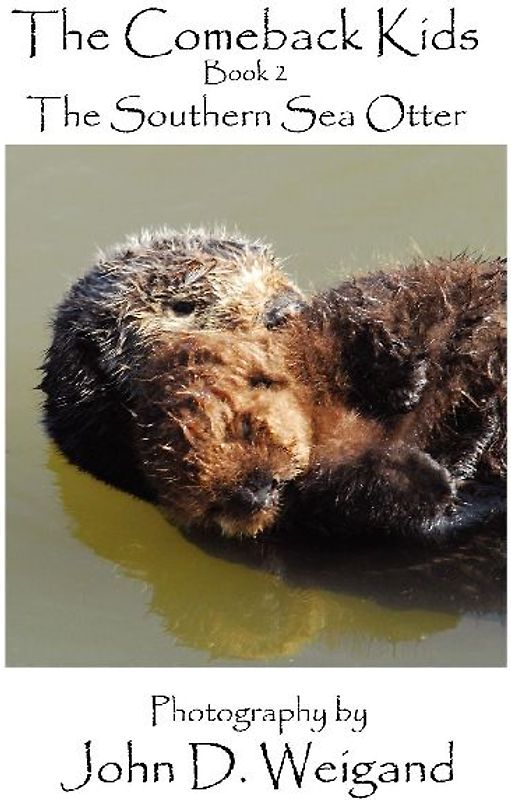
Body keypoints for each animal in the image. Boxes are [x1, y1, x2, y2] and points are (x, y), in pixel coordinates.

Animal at [134, 256, 505, 539]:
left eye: (244, 429)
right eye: (215, 504)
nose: (254, 494)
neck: (320, 403)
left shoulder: (331, 326)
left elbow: (364, 321)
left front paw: (408, 381)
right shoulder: (328, 484)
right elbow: (374, 496)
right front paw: (439, 477)